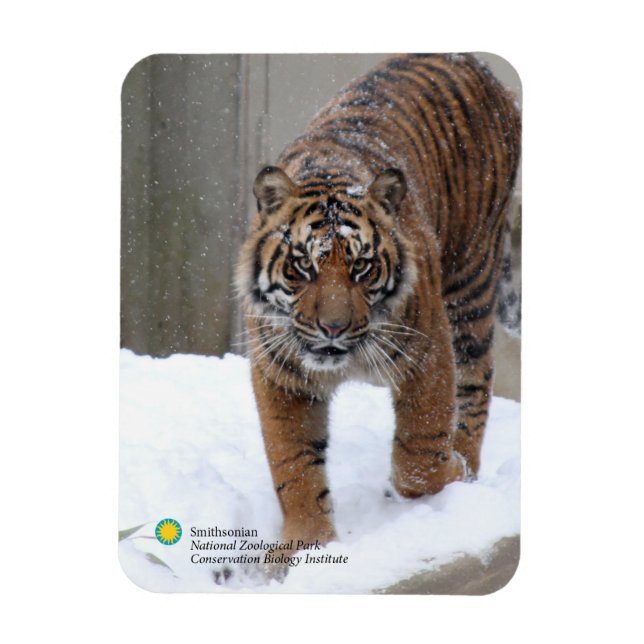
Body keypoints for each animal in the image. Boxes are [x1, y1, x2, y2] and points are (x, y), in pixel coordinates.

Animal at [235, 53, 521, 556]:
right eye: (303, 266)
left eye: (362, 267)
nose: (332, 328)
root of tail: (477, 64)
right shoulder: (280, 374)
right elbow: (293, 462)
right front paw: (308, 547)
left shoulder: (428, 351)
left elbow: (419, 453)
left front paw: (445, 472)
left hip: (470, 284)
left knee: (476, 382)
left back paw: (465, 466)